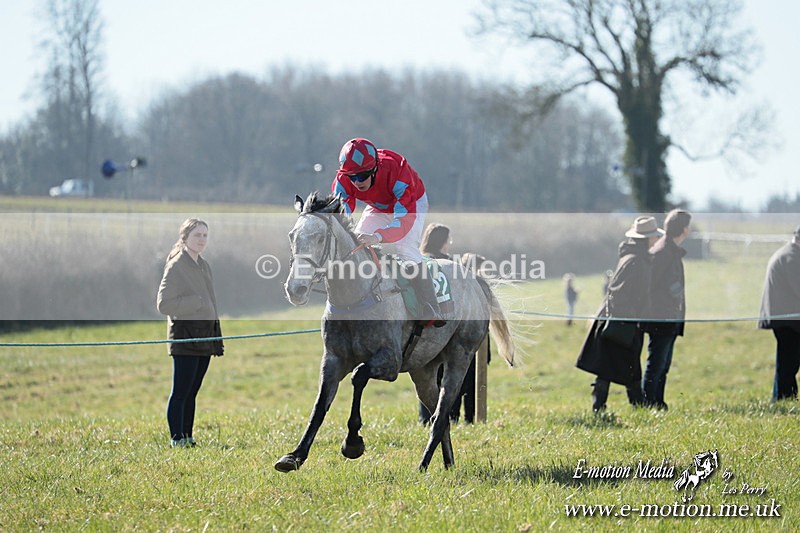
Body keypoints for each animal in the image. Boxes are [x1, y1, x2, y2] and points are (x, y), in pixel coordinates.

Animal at [275, 192, 515, 472]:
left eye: (320, 238)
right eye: (292, 236)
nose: (296, 289)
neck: (355, 297)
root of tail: (474, 279)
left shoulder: (390, 361)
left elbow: (358, 376)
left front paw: (352, 443)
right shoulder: (333, 359)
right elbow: (320, 405)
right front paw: (294, 456)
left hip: (460, 357)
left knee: (441, 415)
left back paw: (422, 466)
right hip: (423, 370)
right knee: (438, 415)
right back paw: (448, 463)